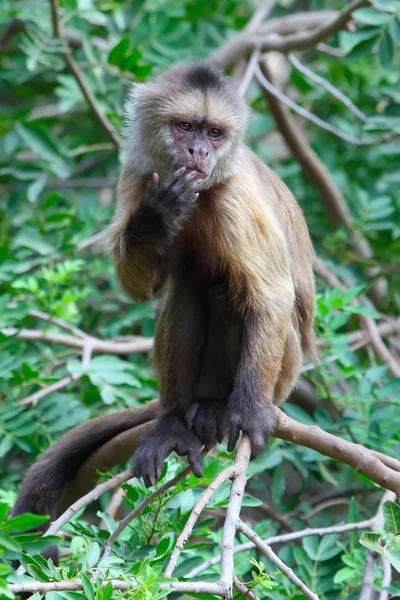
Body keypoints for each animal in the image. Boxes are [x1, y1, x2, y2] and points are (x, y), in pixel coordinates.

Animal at [10, 62, 314, 544]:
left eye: (214, 133)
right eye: (185, 127)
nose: (197, 150)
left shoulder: (234, 195)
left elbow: (271, 295)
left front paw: (249, 412)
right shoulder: (137, 175)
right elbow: (141, 289)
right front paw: (155, 219)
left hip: (284, 372)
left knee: (223, 291)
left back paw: (221, 407)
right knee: (188, 290)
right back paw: (173, 420)